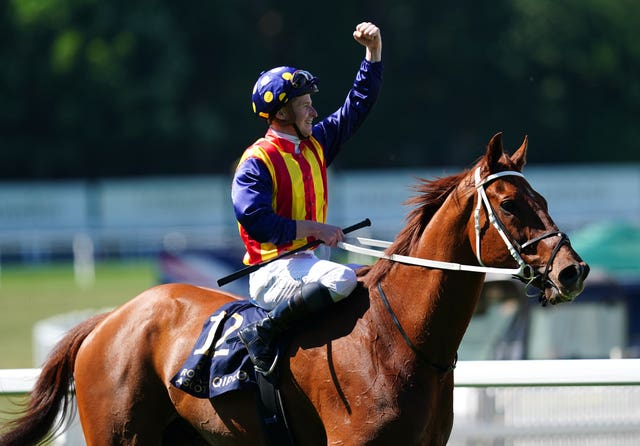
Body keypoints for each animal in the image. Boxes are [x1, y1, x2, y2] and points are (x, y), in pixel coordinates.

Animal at [1, 133, 592, 446]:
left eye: (542, 198)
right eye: (511, 205)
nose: (573, 271)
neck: (398, 338)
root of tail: (106, 321)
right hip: (120, 435)